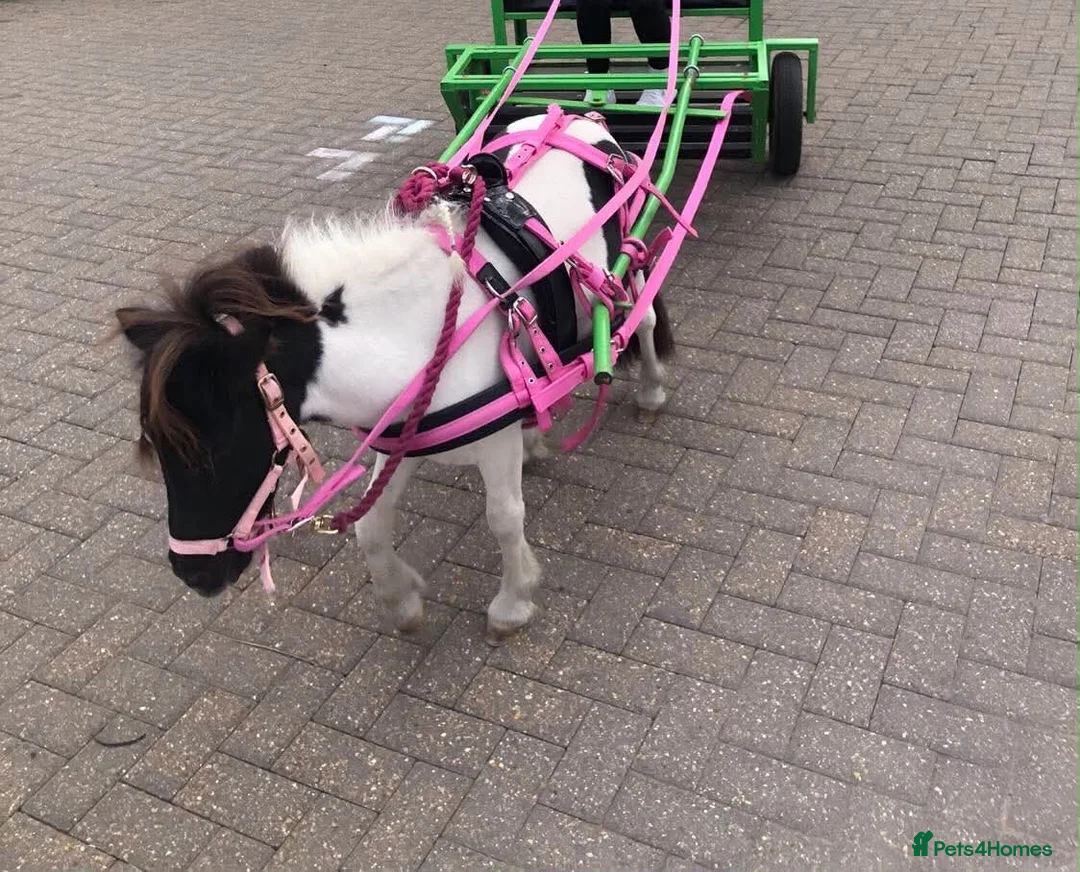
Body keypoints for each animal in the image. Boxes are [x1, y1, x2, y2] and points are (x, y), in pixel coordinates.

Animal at [114, 113, 674, 641]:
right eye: (157, 447)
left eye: (219, 449)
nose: (192, 574)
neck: (427, 327)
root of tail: (577, 117)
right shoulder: (400, 430)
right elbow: (371, 526)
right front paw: (402, 601)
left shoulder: (488, 446)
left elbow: (504, 517)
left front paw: (512, 604)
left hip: (627, 269)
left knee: (643, 319)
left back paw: (650, 392)